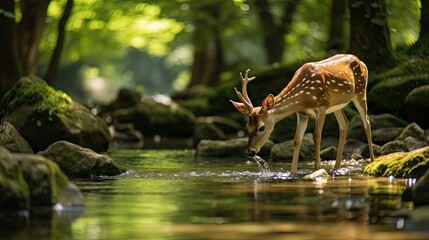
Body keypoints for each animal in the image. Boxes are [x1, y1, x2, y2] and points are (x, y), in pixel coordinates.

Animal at [229, 53, 372, 173]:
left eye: (261, 127)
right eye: (247, 127)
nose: (250, 152)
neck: (303, 98)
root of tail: (362, 62)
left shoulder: (322, 106)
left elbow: (317, 136)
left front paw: (317, 168)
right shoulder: (302, 113)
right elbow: (297, 139)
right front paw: (293, 172)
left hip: (360, 92)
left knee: (367, 123)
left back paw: (372, 162)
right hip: (337, 105)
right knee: (345, 124)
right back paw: (337, 168)